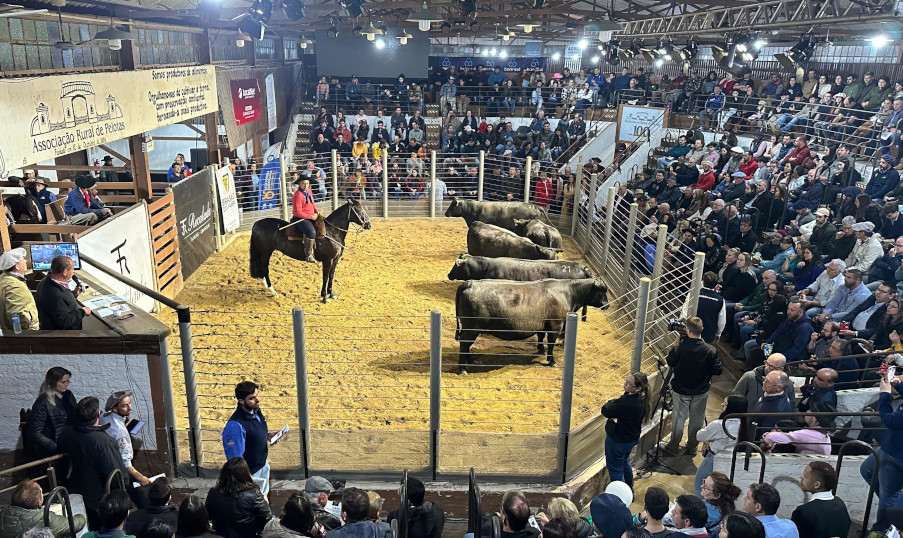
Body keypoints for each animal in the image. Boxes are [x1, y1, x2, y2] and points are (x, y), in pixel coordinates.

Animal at [456, 276, 612, 364]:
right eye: (603, 291)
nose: (607, 305)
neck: (567, 292)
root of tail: (469, 283)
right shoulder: (556, 325)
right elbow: (551, 344)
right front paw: (551, 360)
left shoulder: (543, 324)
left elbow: (541, 337)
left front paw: (540, 350)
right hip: (472, 328)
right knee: (464, 344)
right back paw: (463, 367)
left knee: (466, 345)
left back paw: (470, 361)